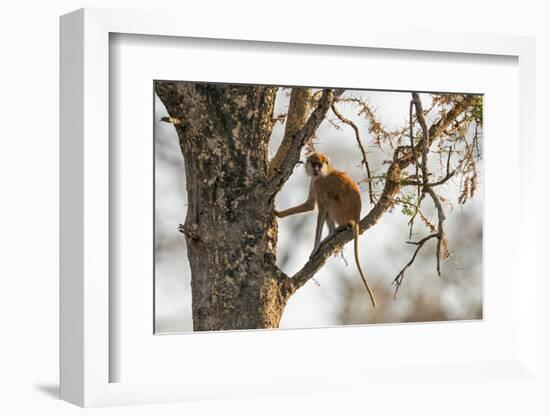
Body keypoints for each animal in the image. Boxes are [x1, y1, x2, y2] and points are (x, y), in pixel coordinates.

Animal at [276, 152, 380, 306]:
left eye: (319, 164)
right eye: (314, 164)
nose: (316, 170)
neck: (324, 172)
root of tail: (356, 218)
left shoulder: (320, 185)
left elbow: (320, 208)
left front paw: (315, 248)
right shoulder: (314, 181)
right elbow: (309, 205)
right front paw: (278, 213)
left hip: (340, 210)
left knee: (329, 203)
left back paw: (337, 230)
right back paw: (332, 233)